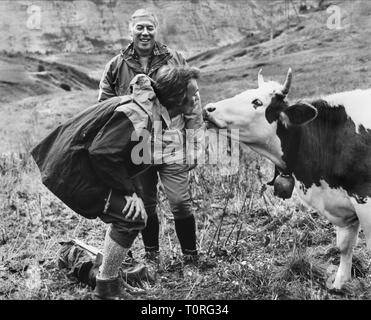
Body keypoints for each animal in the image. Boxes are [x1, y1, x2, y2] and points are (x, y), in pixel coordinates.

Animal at [203, 69, 371, 292]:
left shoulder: (364, 199)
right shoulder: (340, 205)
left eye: (257, 102)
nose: (208, 109)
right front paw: (338, 284)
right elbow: (344, 246)